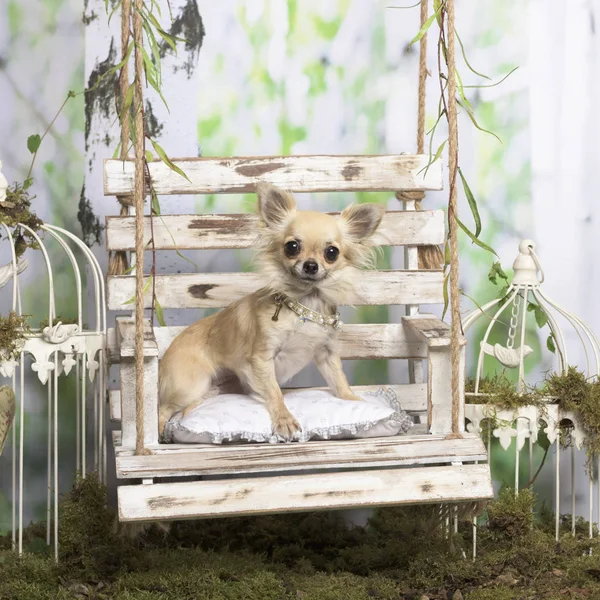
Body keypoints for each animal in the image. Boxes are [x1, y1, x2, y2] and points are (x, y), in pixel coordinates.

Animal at [158, 180, 384, 438]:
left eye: (332, 253)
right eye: (292, 247)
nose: (310, 265)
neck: (305, 306)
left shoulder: (326, 354)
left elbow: (339, 380)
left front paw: (353, 400)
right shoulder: (263, 358)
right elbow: (275, 392)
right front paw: (284, 419)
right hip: (192, 385)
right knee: (163, 410)